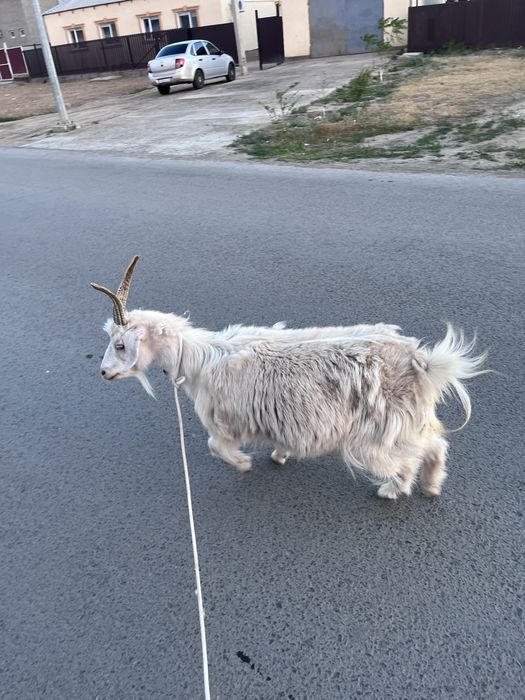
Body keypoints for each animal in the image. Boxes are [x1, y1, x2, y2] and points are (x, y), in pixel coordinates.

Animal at [92, 257, 487, 500]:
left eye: (120, 344)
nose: (103, 372)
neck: (199, 359)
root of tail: (421, 360)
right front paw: (280, 455)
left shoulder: (224, 420)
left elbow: (216, 446)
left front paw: (244, 464)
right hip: (410, 418)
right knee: (435, 445)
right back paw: (432, 486)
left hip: (383, 425)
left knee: (411, 455)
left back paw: (394, 489)